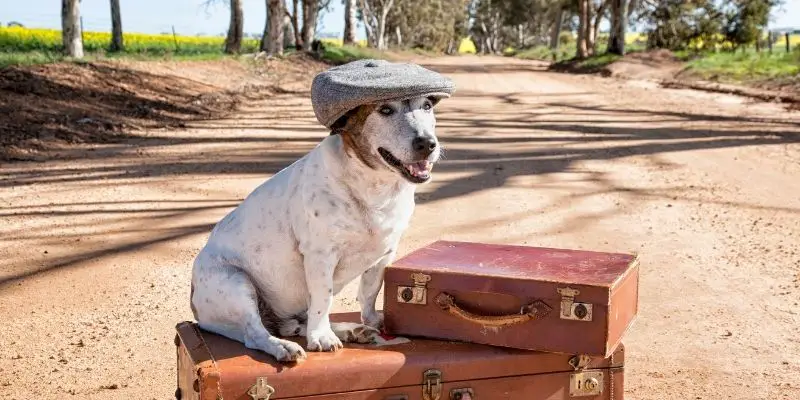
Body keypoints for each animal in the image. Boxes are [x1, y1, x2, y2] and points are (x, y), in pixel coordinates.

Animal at [191, 94, 446, 362]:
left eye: (427, 106)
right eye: (385, 110)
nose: (427, 143)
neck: (375, 187)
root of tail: (197, 311)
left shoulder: (386, 253)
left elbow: (370, 290)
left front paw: (371, 320)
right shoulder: (321, 256)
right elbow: (323, 297)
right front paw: (322, 338)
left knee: (298, 321)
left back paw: (347, 330)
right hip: (236, 283)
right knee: (256, 333)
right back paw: (285, 346)